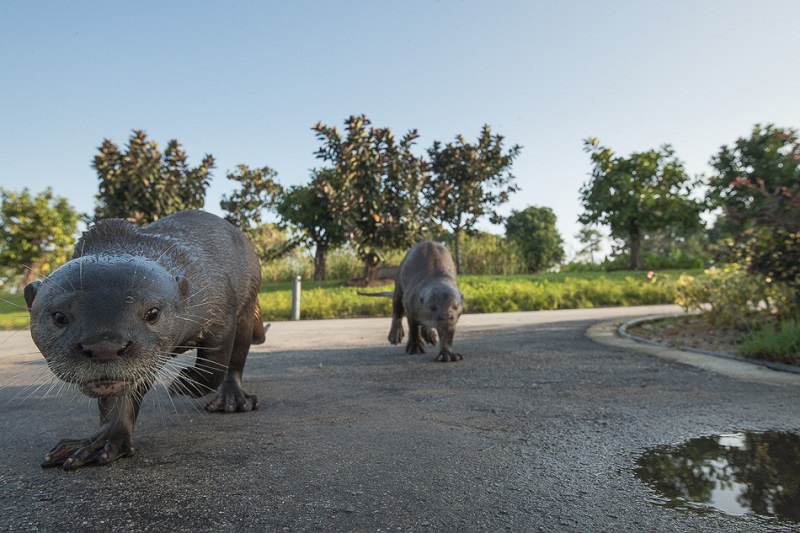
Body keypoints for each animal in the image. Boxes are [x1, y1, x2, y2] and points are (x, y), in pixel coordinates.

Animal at [24, 210, 266, 468]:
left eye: (152, 313)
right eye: (59, 316)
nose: (104, 348)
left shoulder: (218, 303)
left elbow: (214, 366)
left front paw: (183, 383)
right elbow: (121, 397)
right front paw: (104, 440)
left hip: (248, 302)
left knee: (237, 356)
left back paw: (232, 399)